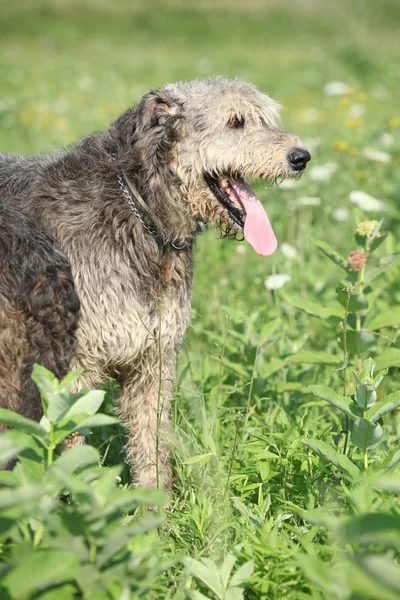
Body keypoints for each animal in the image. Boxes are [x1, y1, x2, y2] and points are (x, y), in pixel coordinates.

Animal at [0, 76, 310, 488]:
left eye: (266, 119)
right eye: (236, 122)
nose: (301, 157)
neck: (138, 208)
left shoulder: (154, 361)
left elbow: (151, 443)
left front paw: (155, 504)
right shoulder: (76, 367)